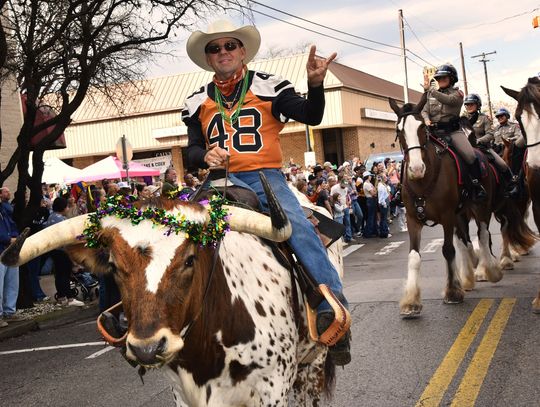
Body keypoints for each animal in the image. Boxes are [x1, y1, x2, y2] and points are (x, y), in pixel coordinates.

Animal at [390, 96, 532, 318]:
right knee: (468, 240)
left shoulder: (448, 216)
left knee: (485, 234)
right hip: (464, 213)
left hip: (484, 207)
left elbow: (449, 250)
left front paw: (453, 292)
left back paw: (492, 268)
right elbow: (414, 257)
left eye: (422, 128)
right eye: (399, 130)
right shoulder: (414, 219)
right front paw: (411, 302)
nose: (416, 168)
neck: (424, 180)